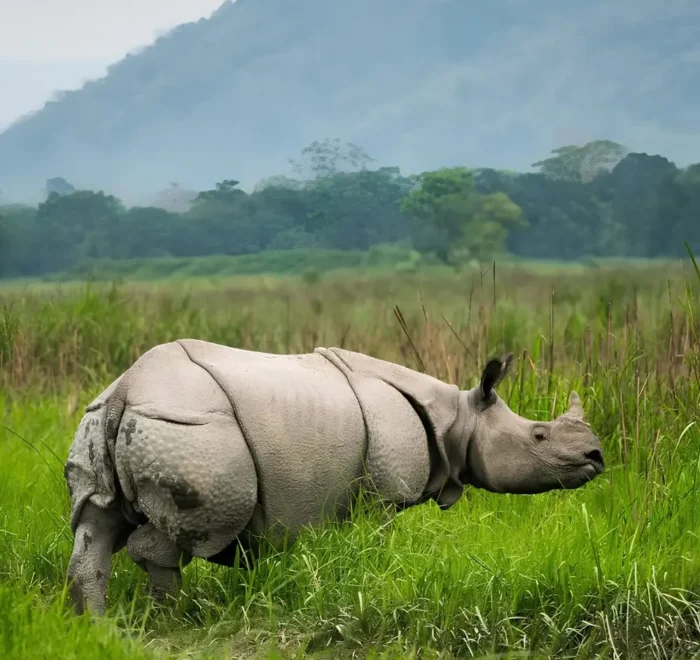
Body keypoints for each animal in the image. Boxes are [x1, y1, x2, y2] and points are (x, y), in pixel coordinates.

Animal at [63, 339, 604, 615]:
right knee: (187, 533)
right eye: (538, 436)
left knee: (96, 524)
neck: (457, 417)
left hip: (100, 418)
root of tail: (126, 390)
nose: (596, 456)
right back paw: (172, 616)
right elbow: (381, 540)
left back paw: (95, 624)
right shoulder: (384, 493)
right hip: (195, 432)